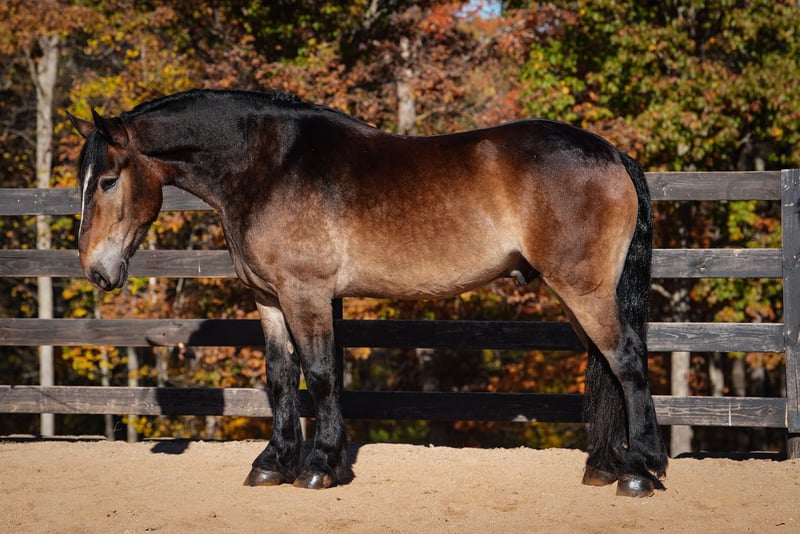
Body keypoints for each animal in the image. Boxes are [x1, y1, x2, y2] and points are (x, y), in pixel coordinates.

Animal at [68, 89, 668, 497]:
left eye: (107, 181)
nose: (96, 271)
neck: (271, 165)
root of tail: (610, 153)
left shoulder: (306, 293)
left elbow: (320, 374)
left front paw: (317, 467)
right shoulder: (269, 299)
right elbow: (282, 378)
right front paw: (273, 463)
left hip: (584, 288)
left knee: (627, 361)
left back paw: (640, 472)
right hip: (576, 293)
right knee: (605, 364)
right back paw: (604, 467)